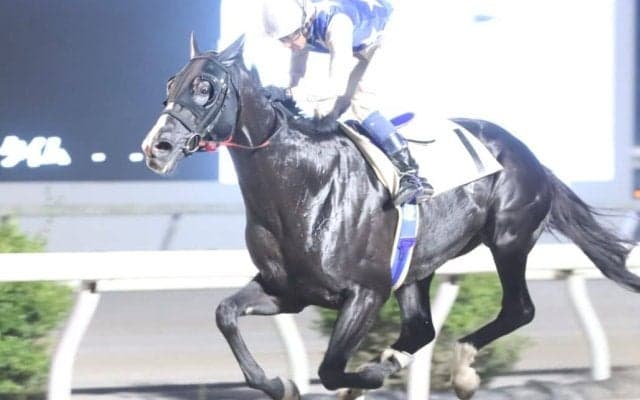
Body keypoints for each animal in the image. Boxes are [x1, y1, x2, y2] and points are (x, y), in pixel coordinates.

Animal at [141, 35, 640, 400]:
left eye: (205, 88)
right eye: (169, 85)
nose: (156, 147)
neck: (302, 185)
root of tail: (527, 154)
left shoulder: (366, 291)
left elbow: (330, 368)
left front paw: (371, 376)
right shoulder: (288, 290)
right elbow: (226, 313)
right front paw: (280, 384)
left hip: (509, 238)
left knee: (518, 308)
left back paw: (459, 372)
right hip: (419, 265)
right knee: (421, 327)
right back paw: (398, 359)